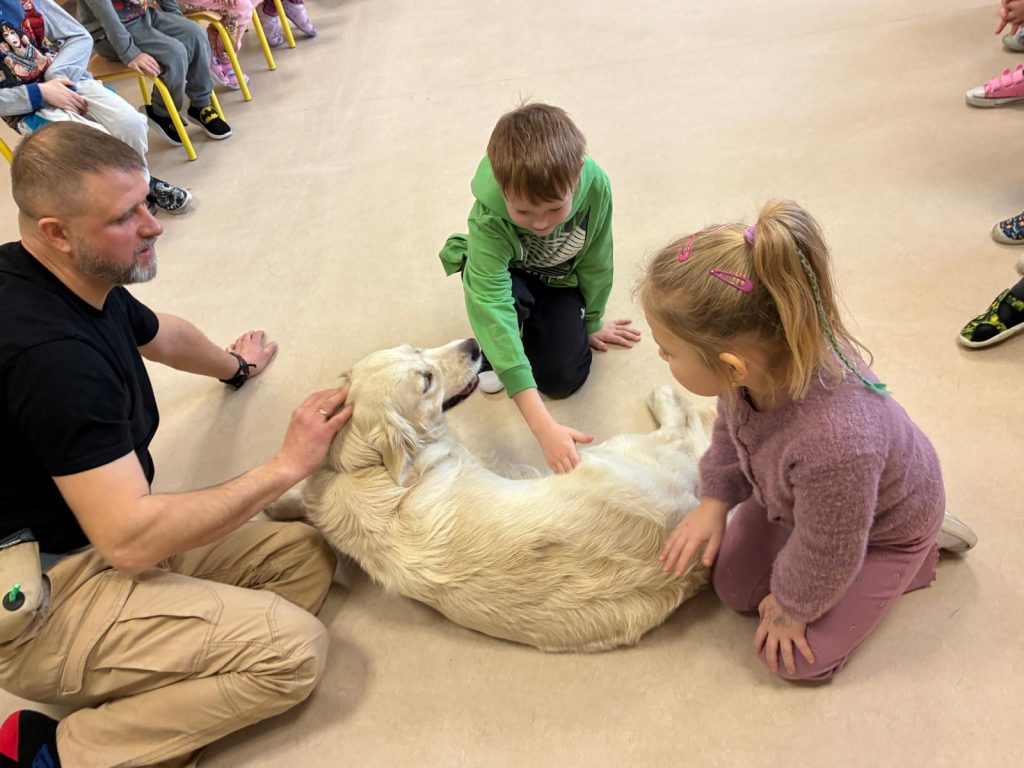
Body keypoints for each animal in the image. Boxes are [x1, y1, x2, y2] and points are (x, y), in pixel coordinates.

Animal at [269, 339, 711, 652]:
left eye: (414, 348)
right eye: (426, 381)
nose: (472, 344)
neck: (363, 467)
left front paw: (276, 503)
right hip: (607, 454)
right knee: (685, 433)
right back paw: (664, 396)